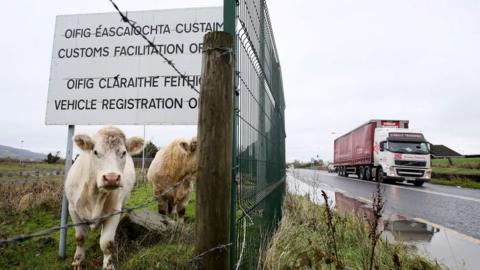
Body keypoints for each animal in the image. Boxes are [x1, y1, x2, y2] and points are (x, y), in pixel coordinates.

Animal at [65, 127, 144, 270]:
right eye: (95, 151)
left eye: (123, 152)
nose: (111, 178)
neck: (95, 194)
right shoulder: (73, 209)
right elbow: (80, 238)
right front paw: (78, 261)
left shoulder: (114, 212)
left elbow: (107, 243)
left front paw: (108, 265)